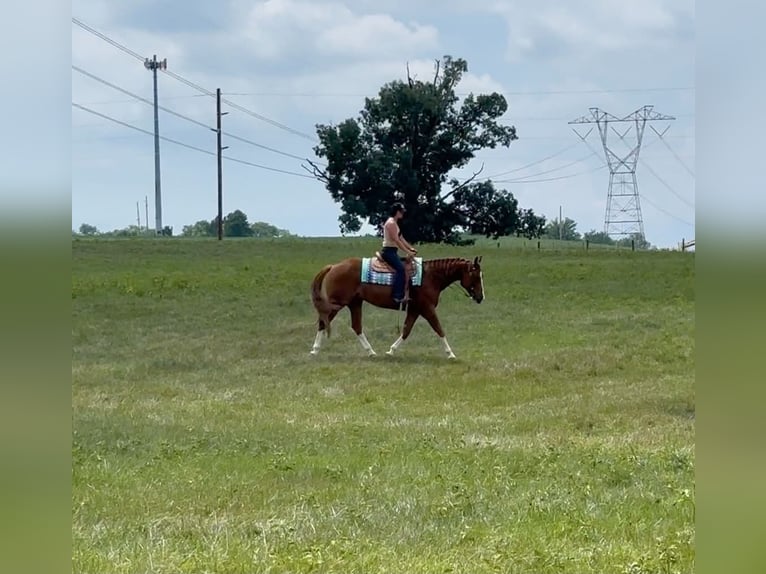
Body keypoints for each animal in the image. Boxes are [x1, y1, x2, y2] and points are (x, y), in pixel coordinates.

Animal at [309, 253, 485, 359]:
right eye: (476, 276)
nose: (480, 297)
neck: (430, 276)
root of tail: (333, 266)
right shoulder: (427, 308)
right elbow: (439, 329)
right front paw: (450, 354)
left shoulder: (415, 309)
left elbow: (406, 330)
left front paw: (391, 350)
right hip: (337, 304)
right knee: (323, 322)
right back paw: (315, 350)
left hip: (355, 303)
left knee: (356, 326)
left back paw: (371, 352)